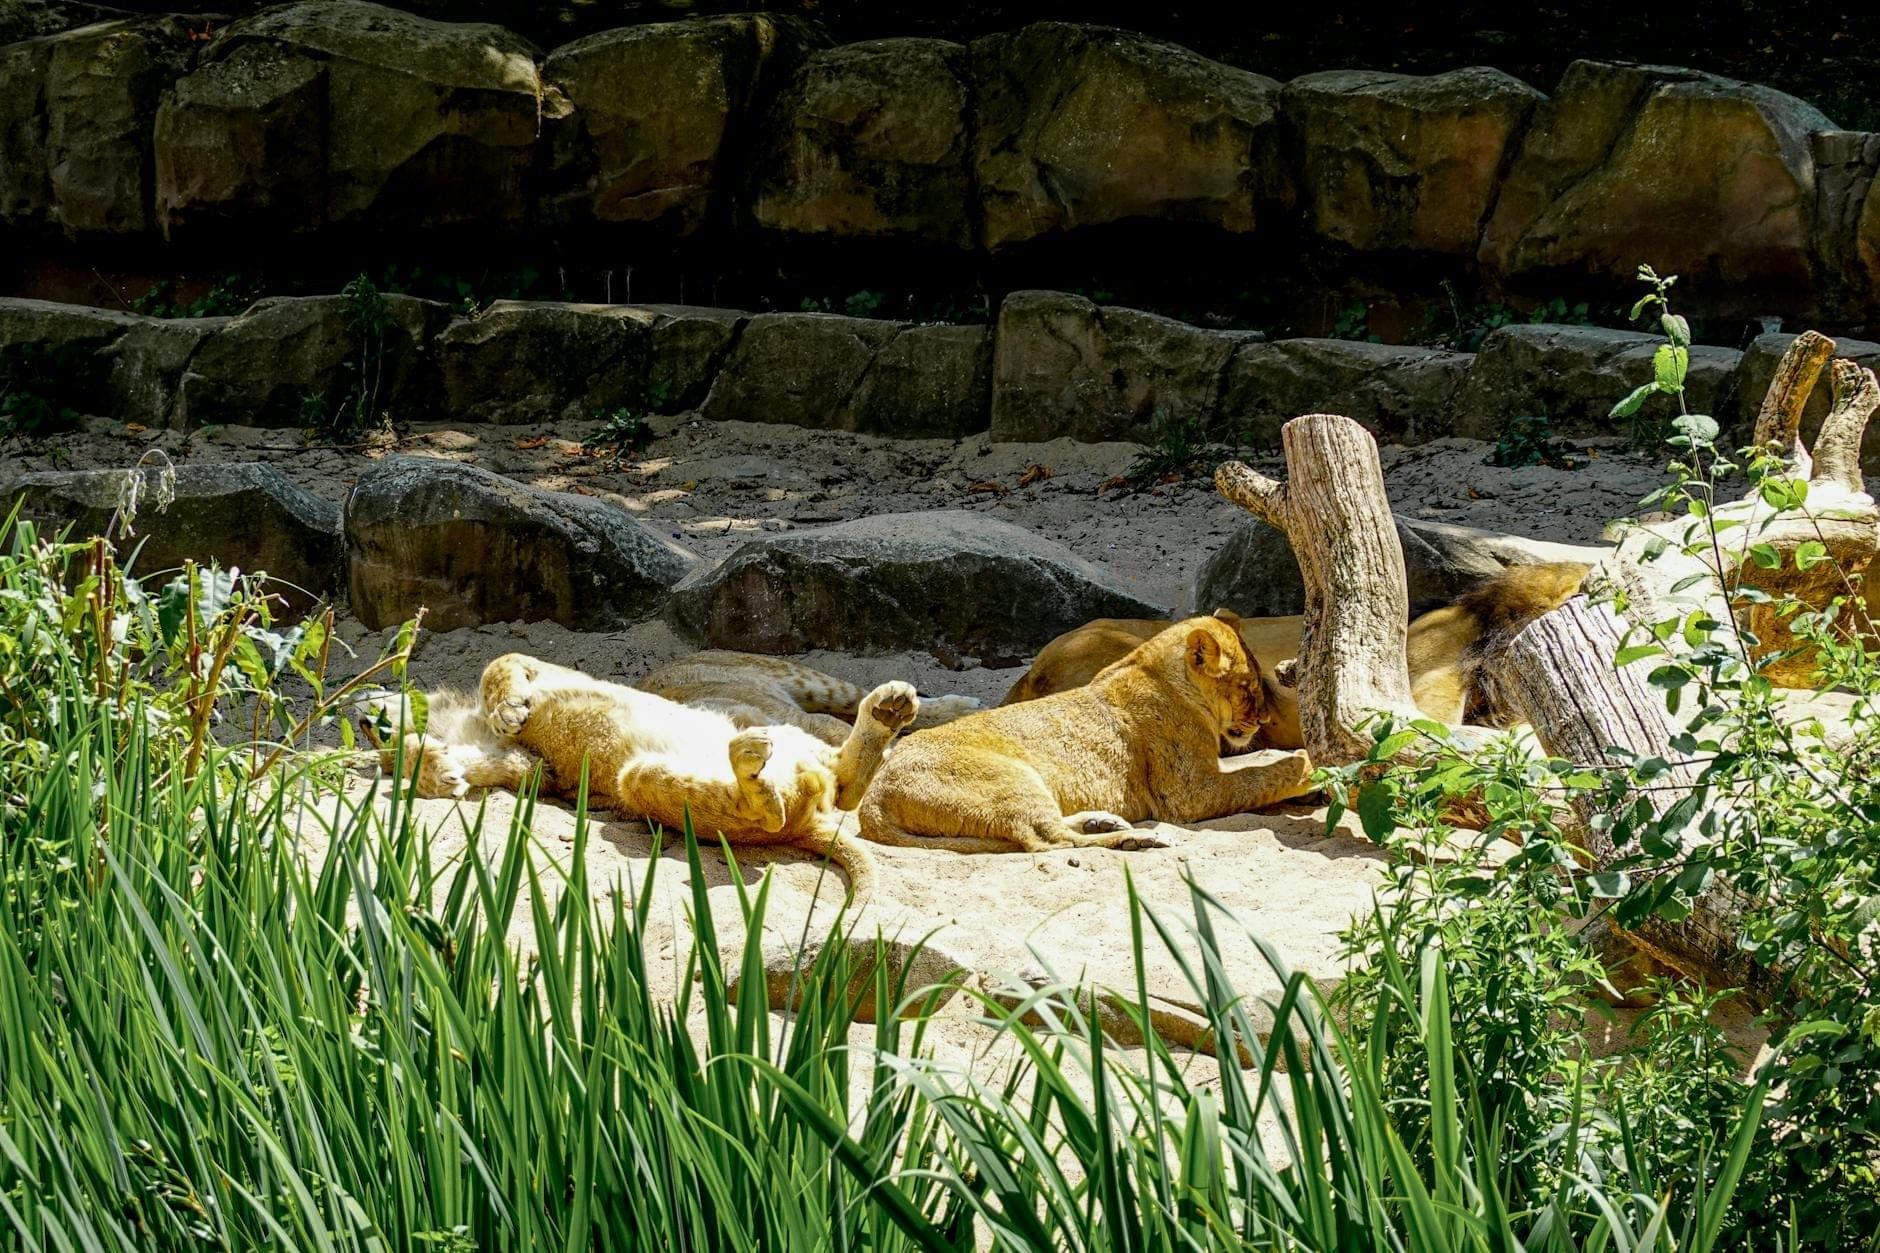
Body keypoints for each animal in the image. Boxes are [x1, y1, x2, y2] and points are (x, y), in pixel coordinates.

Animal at [367, 654, 922, 903]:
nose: (366, 719)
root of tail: (812, 824)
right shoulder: (531, 768)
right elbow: (466, 760)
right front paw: (435, 768)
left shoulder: (536, 684)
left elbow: (497, 665)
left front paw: (507, 708)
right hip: (644, 776)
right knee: (802, 799)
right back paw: (755, 765)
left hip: (783, 732)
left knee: (838, 779)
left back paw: (887, 710)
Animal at [857, 613, 1316, 854]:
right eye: (1247, 686)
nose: (1264, 720)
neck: (1154, 670)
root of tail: (873, 797)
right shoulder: (1189, 795)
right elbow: (1257, 776)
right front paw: (1309, 767)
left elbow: (1255, 770)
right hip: (1013, 779)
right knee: (1047, 840)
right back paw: (1134, 838)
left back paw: (1102, 821)